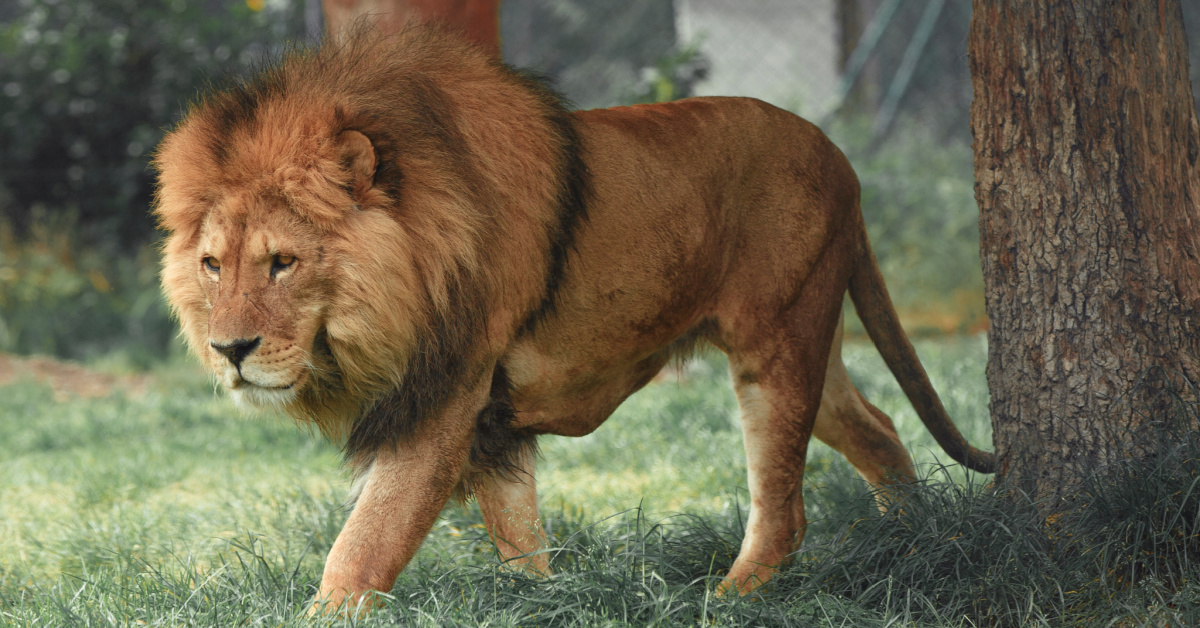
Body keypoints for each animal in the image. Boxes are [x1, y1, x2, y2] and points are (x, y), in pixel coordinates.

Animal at [150, 25, 993, 614]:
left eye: (283, 262)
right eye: (213, 265)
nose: (229, 350)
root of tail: (840, 158)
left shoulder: (446, 395)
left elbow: (367, 542)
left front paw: (324, 612)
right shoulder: (488, 419)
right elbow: (518, 533)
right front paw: (548, 601)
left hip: (777, 341)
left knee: (784, 509)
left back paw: (727, 602)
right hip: (808, 335)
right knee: (877, 426)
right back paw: (915, 541)